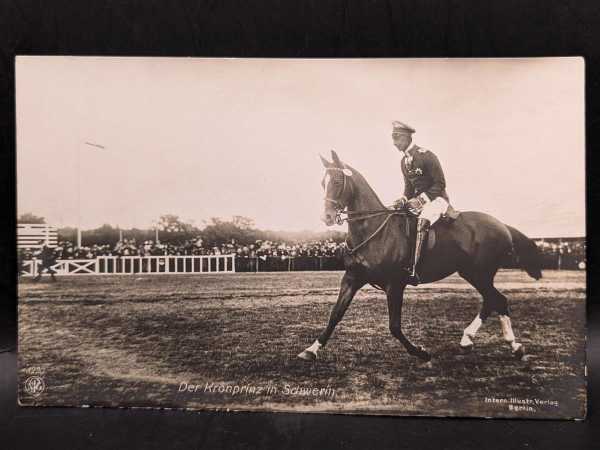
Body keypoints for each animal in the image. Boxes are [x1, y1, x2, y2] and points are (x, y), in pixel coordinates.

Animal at [298, 151, 540, 362]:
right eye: (323, 183)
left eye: (338, 181)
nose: (327, 217)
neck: (374, 229)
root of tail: (502, 225)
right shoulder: (352, 278)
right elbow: (335, 314)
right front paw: (311, 349)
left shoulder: (394, 285)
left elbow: (394, 326)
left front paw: (420, 352)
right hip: (473, 273)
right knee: (491, 301)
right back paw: (469, 340)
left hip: (479, 273)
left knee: (498, 300)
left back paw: (513, 345)